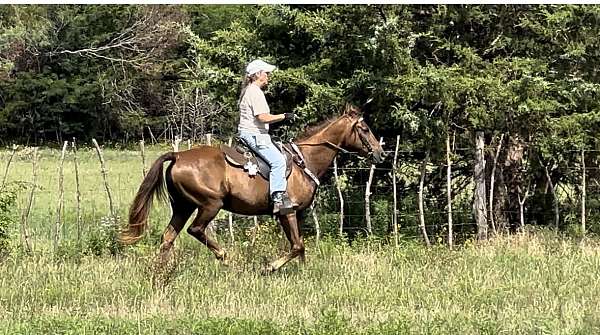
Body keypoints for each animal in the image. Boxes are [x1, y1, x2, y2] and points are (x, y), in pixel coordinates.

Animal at [119, 102, 386, 272]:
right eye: (364, 129)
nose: (380, 153)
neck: (305, 160)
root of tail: (177, 155)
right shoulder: (287, 212)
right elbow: (297, 245)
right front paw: (271, 267)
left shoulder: (296, 214)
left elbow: (300, 247)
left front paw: (303, 273)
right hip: (210, 205)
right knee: (195, 230)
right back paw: (225, 257)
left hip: (182, 207)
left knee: (167, 238)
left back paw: (160, 273)